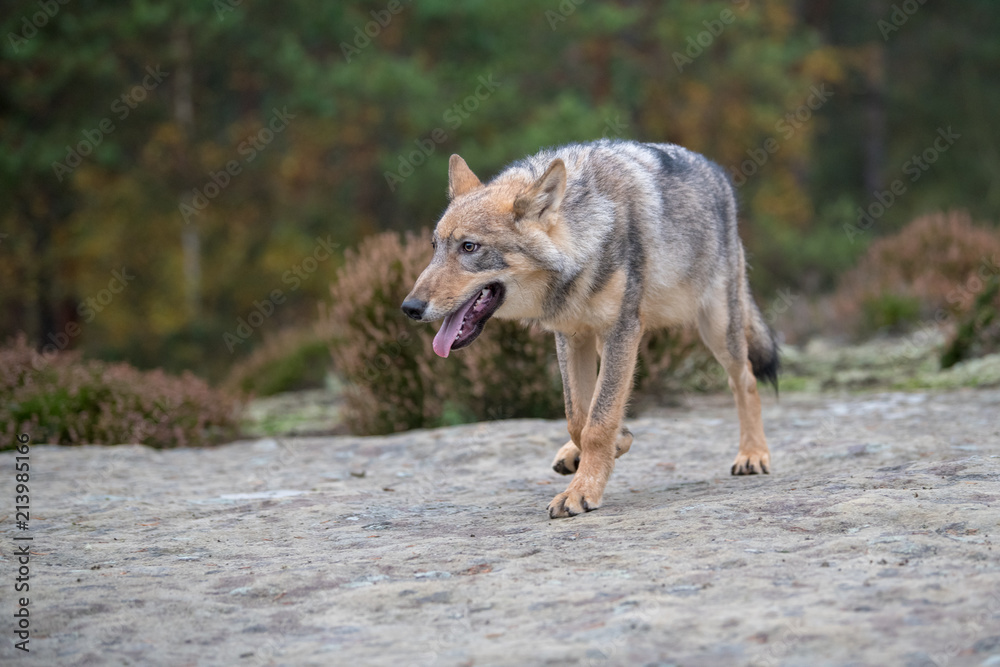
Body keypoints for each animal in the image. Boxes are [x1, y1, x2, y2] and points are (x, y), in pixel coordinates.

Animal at [401, 139, 778, 519]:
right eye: (434, 247)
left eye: (469, 247)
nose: (409, 308)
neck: (587, 242)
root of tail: (716, 172)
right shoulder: (571, 336)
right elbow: (579, 417)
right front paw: (609, 447)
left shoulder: (622, 330)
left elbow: (599, 421)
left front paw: (581, 492)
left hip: (717, 329)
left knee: (745, 380)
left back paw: (753, 454)